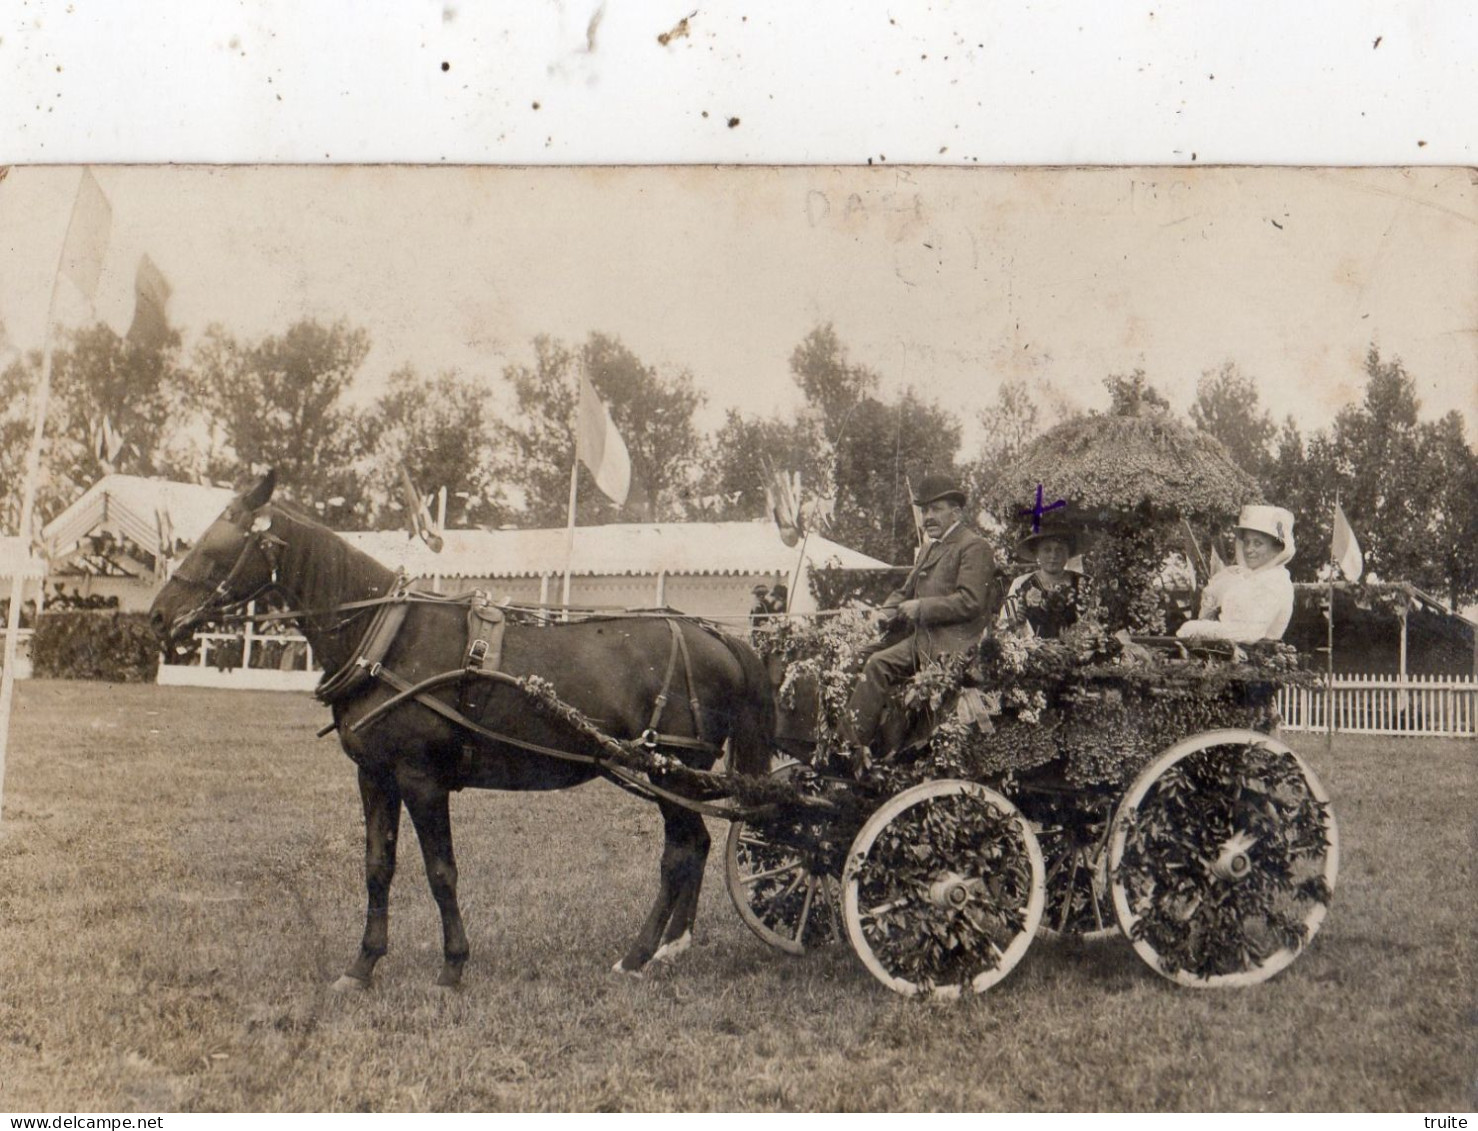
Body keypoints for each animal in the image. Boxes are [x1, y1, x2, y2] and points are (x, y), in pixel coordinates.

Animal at [148, 473, 774, 981]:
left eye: (217, 543)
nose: (157, 617)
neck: (387, 640)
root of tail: (716, 636)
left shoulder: (421, 778)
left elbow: (440, 871)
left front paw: (453, 965)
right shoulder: (375, 775)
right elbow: (378, 868)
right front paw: (363, 965)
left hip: (674, 769)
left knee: (681, 851)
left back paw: (639, 954)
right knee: (693, 845)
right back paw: (671, 945)